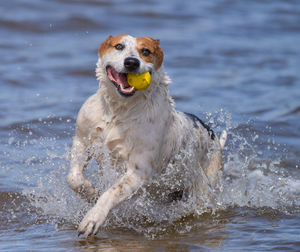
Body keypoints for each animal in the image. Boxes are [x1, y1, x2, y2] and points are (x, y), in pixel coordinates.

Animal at [67, 34, 227, 237]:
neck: (119, 110)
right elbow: (73, 178)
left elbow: (111, 192)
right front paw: (89, 192)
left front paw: (93, 218)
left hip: (205, 182)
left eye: (146, 51)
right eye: (119, 46)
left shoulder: (138, 171)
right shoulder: (82, 139)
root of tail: (213, 136)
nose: (131, 62)